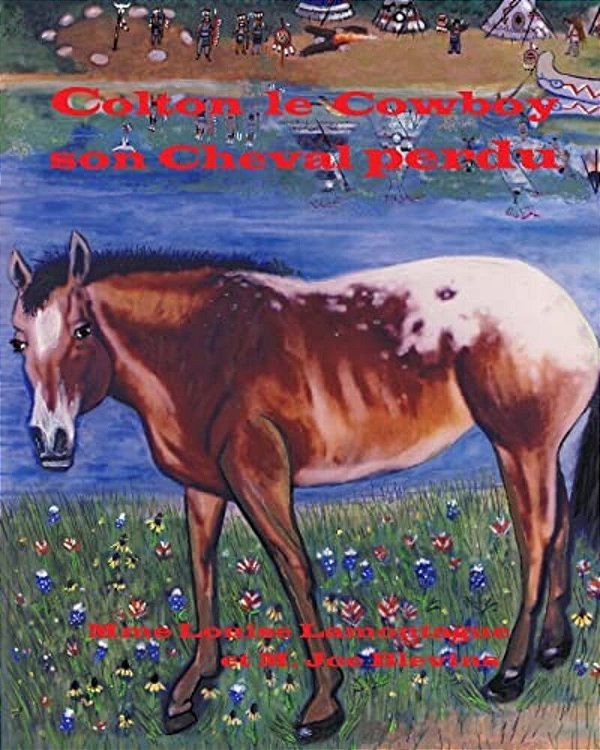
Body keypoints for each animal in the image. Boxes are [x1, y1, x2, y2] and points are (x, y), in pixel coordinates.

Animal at [8, 232, 599, 743]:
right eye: (18, 341)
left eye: (82, 330)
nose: (50, 439)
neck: (204, 346)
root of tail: (568, 314)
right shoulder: (204, 487)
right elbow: (201, 569)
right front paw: (190, 690)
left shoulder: (259, 477)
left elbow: (294, 571)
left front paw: (322, 706)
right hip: (542, 450)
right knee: (559, 528)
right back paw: (553, 648)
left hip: (519, 448)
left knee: (535, 541)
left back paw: (509, 674)